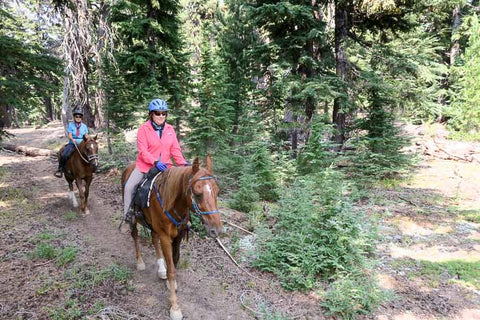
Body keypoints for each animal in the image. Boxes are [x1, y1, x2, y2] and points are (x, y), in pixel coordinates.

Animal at [122, 155, 223, 320]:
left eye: (217, 191)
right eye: (198, 194)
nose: (217, 230)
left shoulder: (179, 235)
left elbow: (174, 262)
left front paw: (171, 284)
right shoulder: (165, 236)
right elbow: (172, 270)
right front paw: (175, 307)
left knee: (153, 238)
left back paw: (160, 269)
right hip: (133, 219)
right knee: (135, 235)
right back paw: (140, 262)